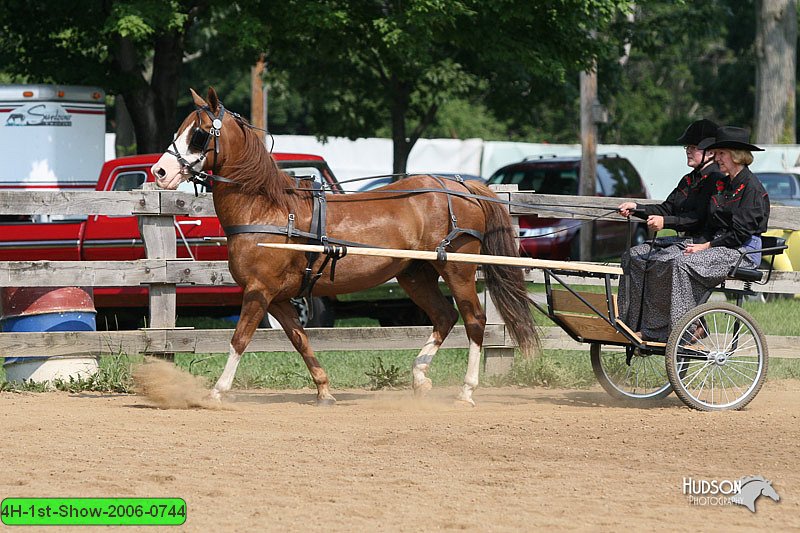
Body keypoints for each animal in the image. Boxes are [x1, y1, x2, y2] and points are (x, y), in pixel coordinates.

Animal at [152, 88, 536, 404]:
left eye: (199, 134)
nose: (159, 172)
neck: (266, 209)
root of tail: (462, 186)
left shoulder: (259, 291)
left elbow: (239, 339)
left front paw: (217, 391)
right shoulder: (277, 298)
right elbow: (299, 339)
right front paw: (323, 389)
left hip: (458, 269)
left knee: (474, 320)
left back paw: (466, 390)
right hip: (416, 275)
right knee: (444, 316)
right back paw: (419, 377)